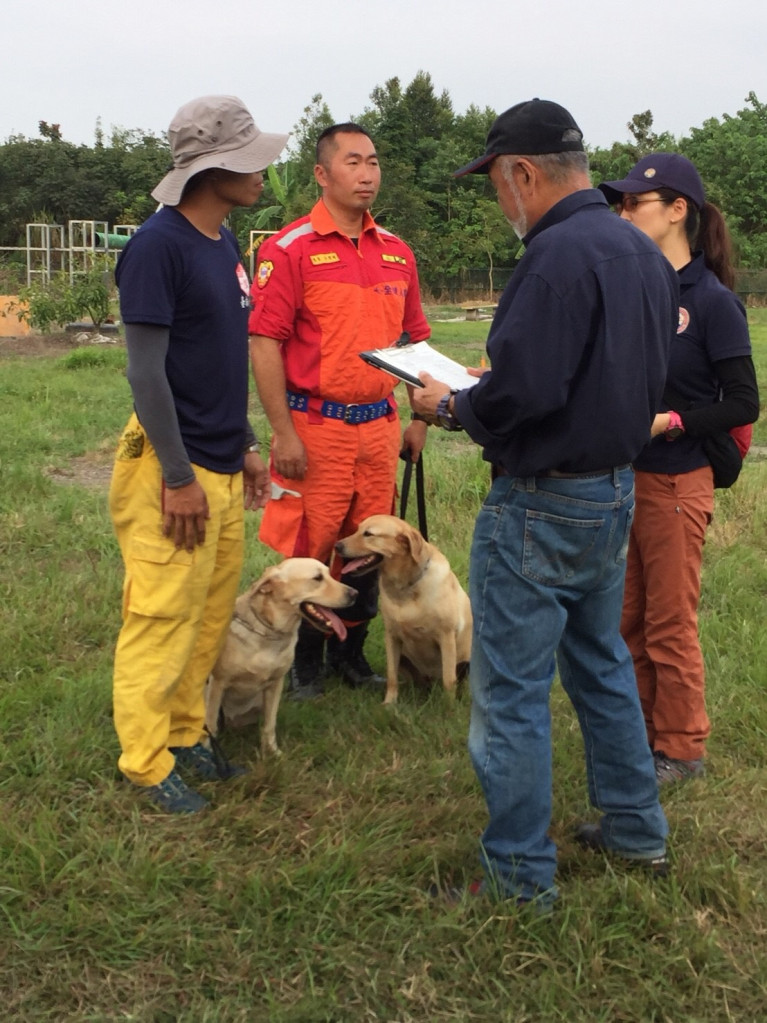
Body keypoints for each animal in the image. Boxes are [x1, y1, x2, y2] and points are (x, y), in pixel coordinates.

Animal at [205, 556, 359, 757]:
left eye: (329, 573)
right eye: (317, 578)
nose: (355, 593)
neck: (269, 633)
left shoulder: (275, 684)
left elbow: (270, 724)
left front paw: (272, 752)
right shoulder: (218, 683)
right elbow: (210, 725)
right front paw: (209, 752)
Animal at [337, 515, 474, 707]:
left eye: (368, 534)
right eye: (357, 530)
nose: (337, 546)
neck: (405, 587)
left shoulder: (446, 637)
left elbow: (449, 679)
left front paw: (449, 707)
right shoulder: (392, 636)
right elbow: (391, 676)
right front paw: (389, 703)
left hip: (467, 663)